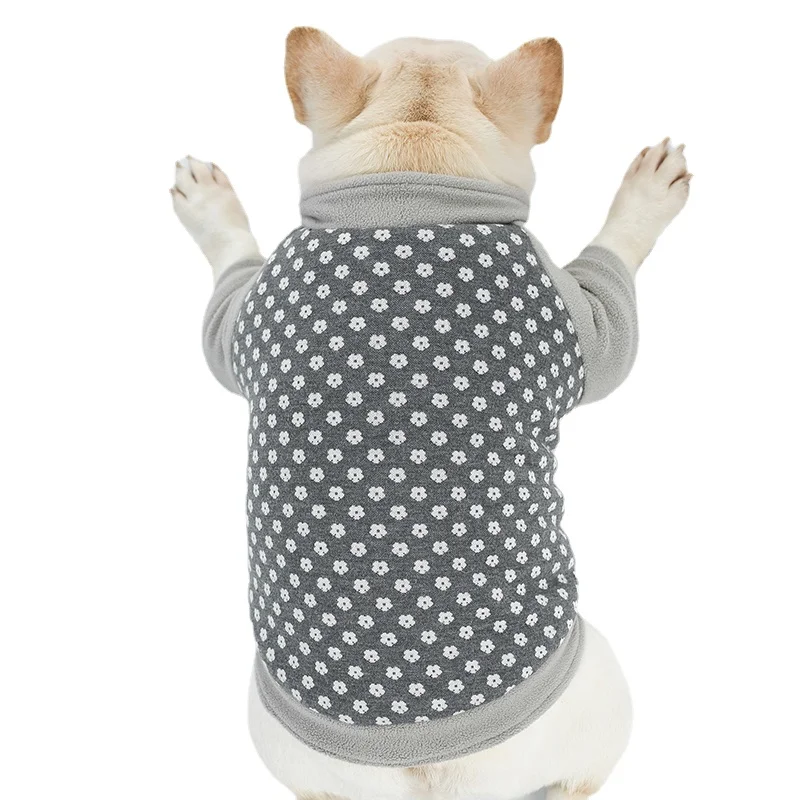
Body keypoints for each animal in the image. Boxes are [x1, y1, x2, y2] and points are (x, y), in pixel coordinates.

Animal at [171, 29, 690, 800]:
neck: (409, 171)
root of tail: (430, 773)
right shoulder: (589, 325)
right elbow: (617, 272)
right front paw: (647, 194)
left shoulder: (240, 319)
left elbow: (229, 281)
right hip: (604, 677)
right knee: (583, 777)